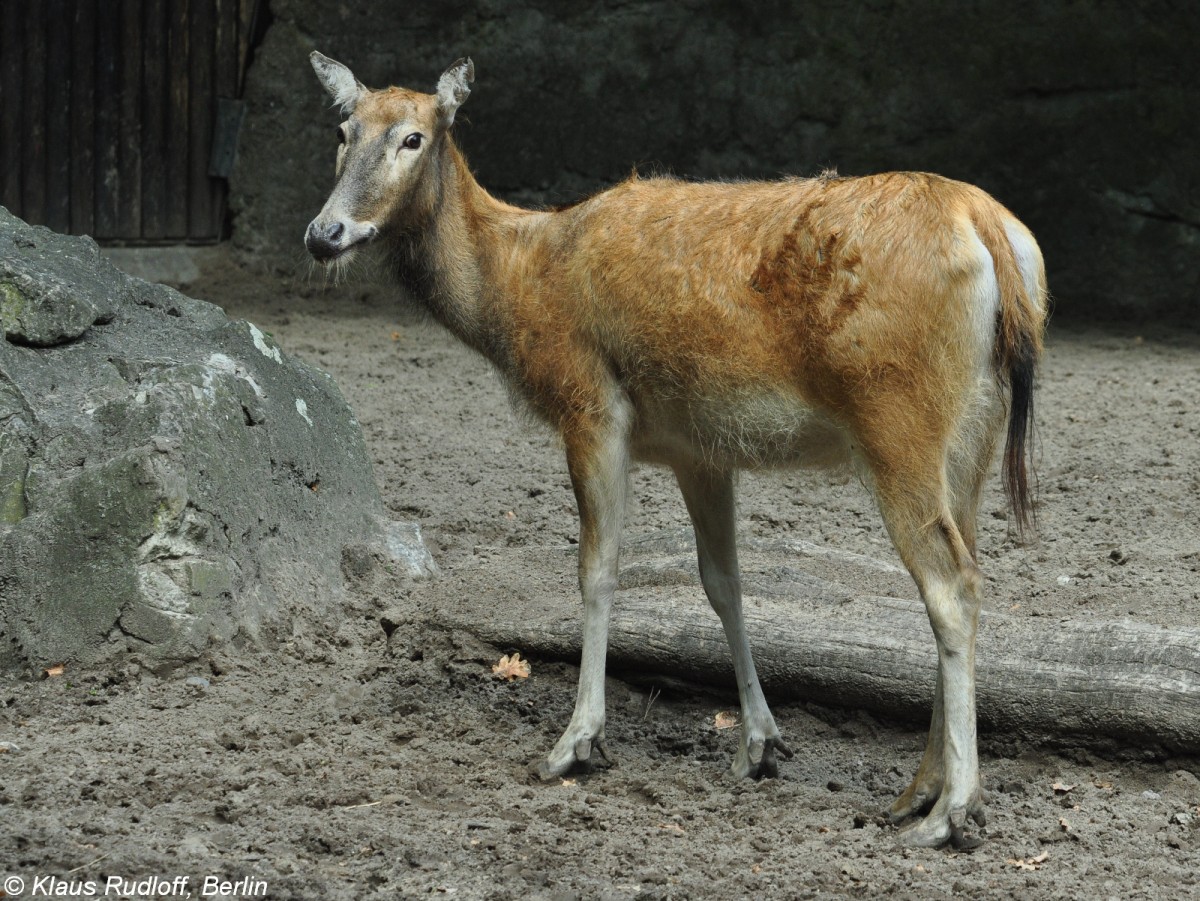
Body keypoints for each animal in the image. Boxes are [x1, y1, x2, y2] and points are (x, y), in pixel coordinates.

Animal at [304, 52, 1046, 849]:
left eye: (413, 137)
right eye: (342, 129)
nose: (325, 232)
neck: (519, 286)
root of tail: (991, 230)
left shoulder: (591, 404)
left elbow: (597, 570)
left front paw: (575, 742)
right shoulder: (699, 448)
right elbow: (723, 582)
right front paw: (759, 743)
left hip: (896, 418)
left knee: (949, 584)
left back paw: (952, 811)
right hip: (972, 434)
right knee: (970, 566)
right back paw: (916, 790)